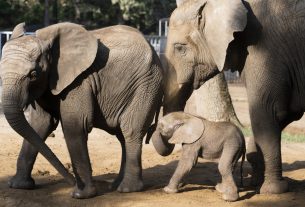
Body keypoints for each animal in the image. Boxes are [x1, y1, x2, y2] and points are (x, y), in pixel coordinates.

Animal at [0, 22, 163, 199]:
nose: (72, 181)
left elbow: (75, 126)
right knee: (122, 136)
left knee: (131, 130)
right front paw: (19, 186)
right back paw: (115, 186)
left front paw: (81, 195)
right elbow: (40, 125)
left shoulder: (79, 82)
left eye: (33, 74)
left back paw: (127, 189)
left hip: (146, 84)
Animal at [159, 0, 305, 194]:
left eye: (180, 48)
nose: (183, 185)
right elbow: (286, 114)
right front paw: (255, 180)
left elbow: (268, 112)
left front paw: (272, 190)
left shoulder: (263, 50)